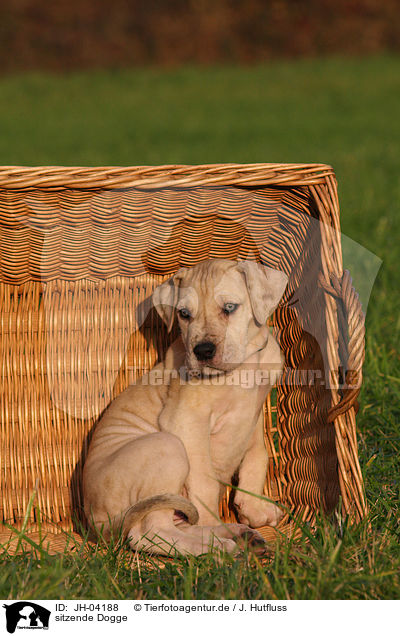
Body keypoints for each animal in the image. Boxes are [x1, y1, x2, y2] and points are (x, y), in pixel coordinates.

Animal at [83, 258, 286, 556]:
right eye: (184, 314)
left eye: (229, 308)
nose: (203, 351)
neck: (244, 364)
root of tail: (95, 521)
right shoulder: (187, 422)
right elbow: (205, 483)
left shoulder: (256, 412)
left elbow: (257, 454)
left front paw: (253, 508)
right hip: (167, 447)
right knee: (150, 533)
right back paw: (217, 548)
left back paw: (237, 535)